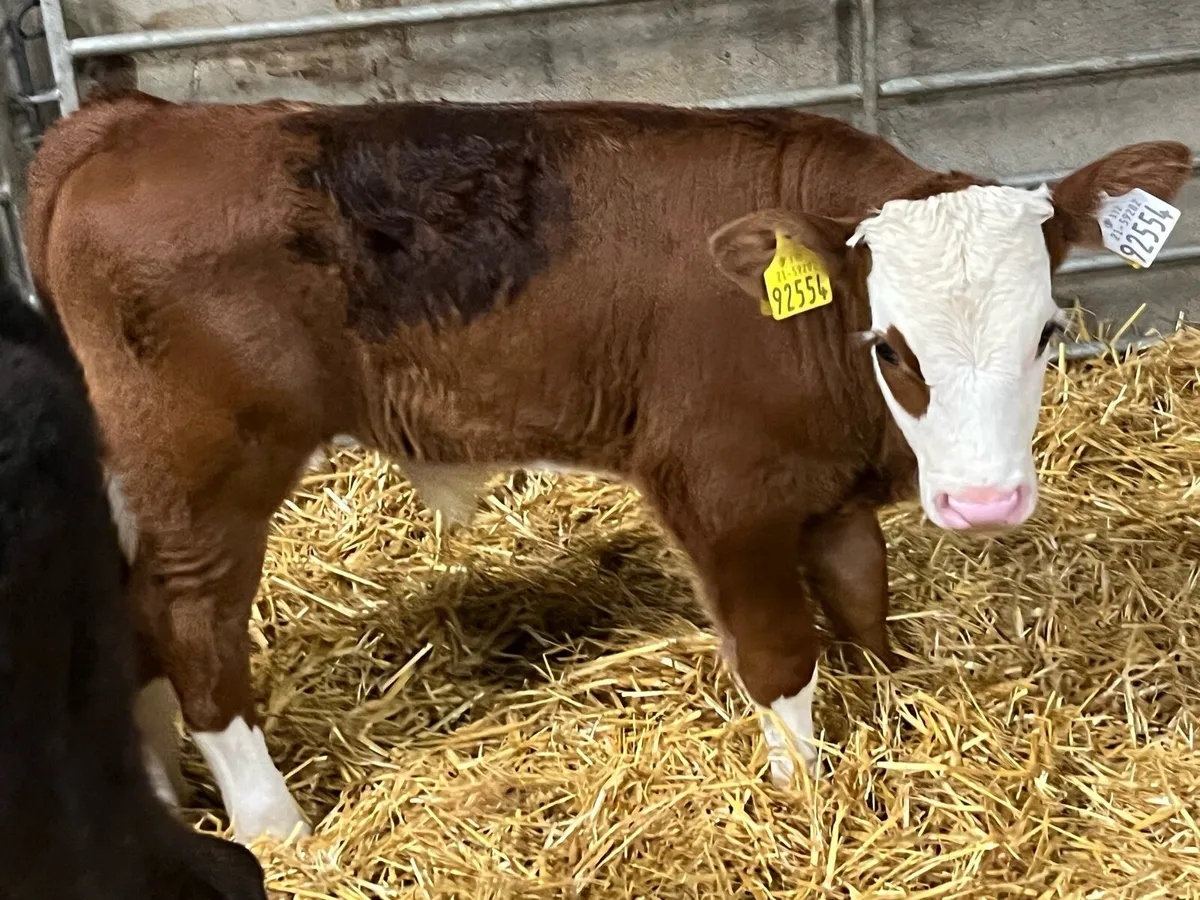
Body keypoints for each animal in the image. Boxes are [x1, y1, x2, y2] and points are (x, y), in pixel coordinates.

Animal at [22, 89, 1191, 844]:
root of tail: (134, 119)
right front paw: (801, 793)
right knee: (190, 621)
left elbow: (864, 605)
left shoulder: (823, 488)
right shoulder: (721, 489)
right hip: (208, 469)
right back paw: (277, 827)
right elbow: (781, 654)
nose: (986, 502)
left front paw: (897, 715)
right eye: (893, 348)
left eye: (1046, 332)